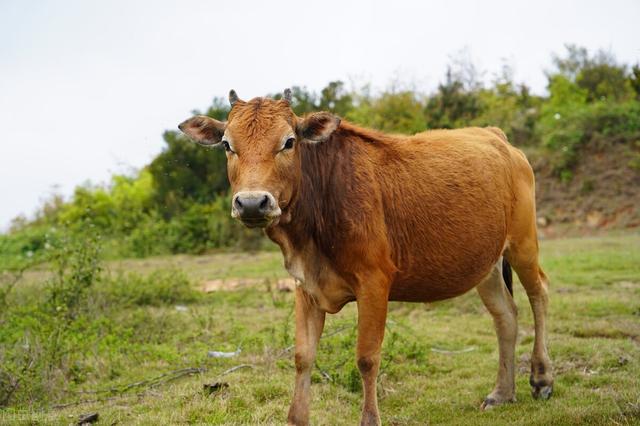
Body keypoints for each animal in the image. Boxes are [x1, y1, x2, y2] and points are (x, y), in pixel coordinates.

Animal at [178, 90, 552, 426]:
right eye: (227, 145)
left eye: (289, 142)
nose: (253, 203)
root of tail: (495, 134)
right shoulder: (305, 286)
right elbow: (303, 356)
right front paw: (297, 418)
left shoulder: (374, 281)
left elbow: (367, 358)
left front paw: (370, 418)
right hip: (486, 263)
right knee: (506, 315)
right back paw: (502, 392)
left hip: (523, 243)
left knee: (539, 294)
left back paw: (542, 378)